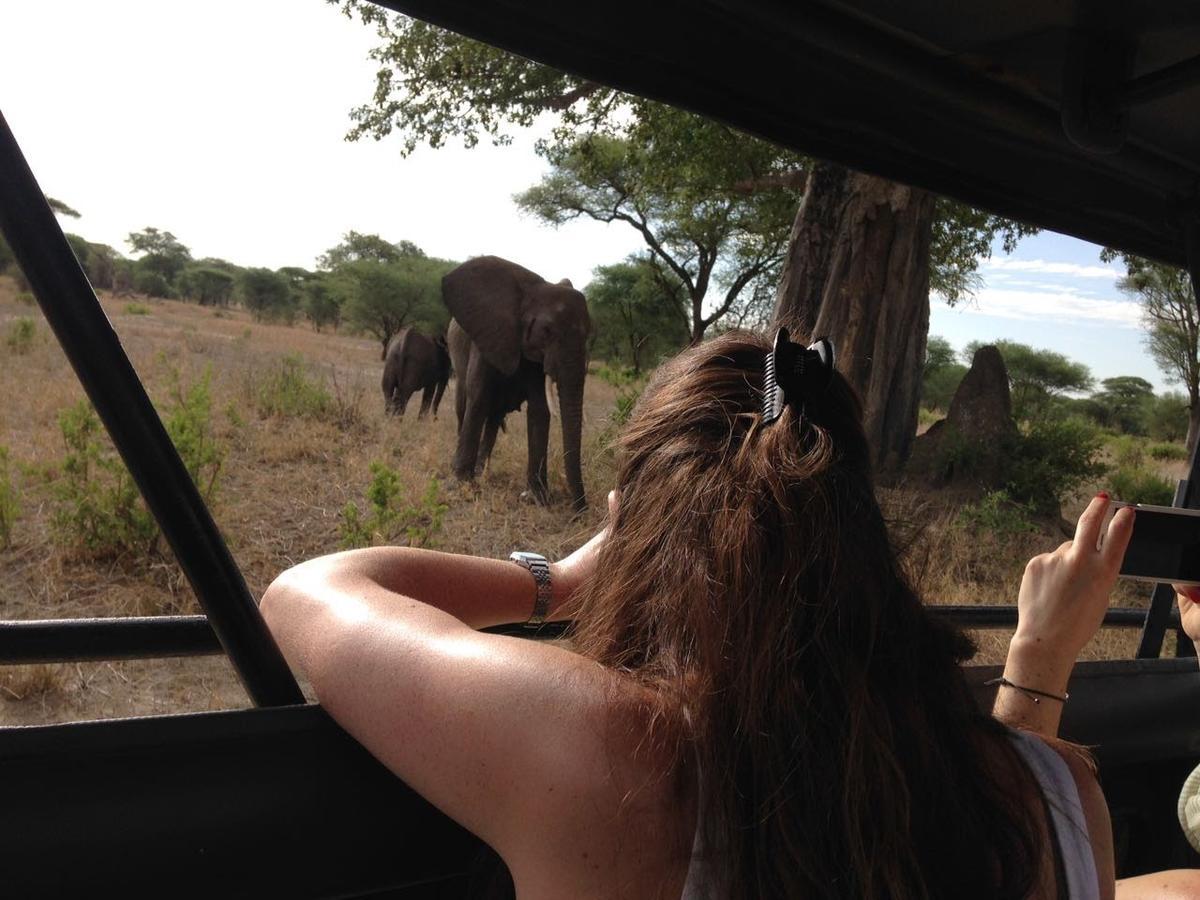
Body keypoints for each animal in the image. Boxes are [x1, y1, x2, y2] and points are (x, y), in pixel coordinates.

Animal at [444, 256, 588, 511]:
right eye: (546, 331)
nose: (580, 508)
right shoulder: (487, 337)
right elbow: (478, 397)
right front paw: (462, 485)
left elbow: (540, 410)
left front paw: (538, 497)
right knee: (464, 406)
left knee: (493, 420)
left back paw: (482, 470)